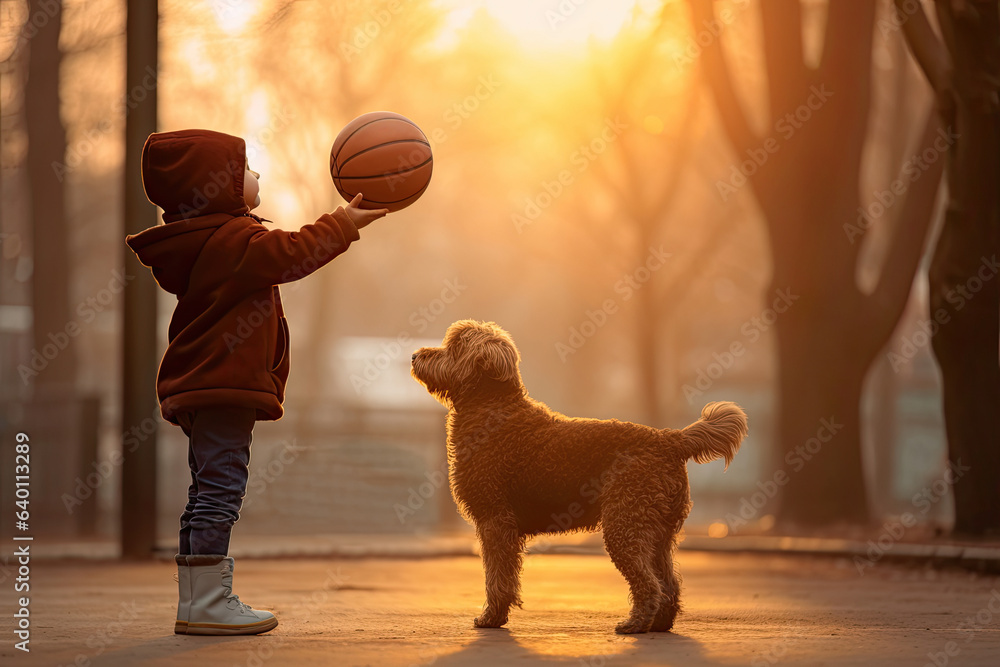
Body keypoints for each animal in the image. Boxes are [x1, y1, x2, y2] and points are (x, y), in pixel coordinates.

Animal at [410, 320, 748, 636]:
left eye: (454, 347)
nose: (415, 355)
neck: (492, 410)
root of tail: (670, 439)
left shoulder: (495, 522)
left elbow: (497, 578)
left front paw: (491, 618)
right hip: (657, 533)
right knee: (669, 583)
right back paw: (659, 624)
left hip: (625, 525)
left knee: (649, 584)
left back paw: (635, 624)